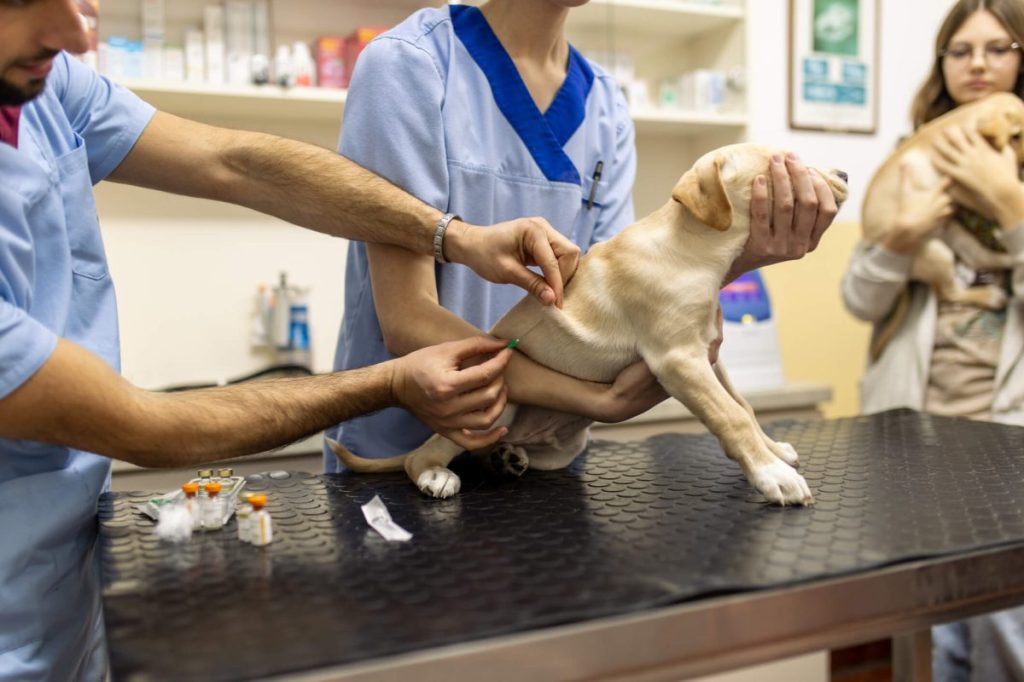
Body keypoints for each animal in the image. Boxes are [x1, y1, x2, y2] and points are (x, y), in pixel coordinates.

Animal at [327, 144, 847, 503]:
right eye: (786, 164)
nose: (844, 172)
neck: (693, 250)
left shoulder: (709, 355)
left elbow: (743, 405)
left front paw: (774, 450)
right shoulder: (679, 360)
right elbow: (730, 416)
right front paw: (774, 476)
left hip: (563, 446)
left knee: (497, 451)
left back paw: (506, 457)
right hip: (500, 403)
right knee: (424, 455)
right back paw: (437, 474)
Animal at [864, 93, 1024, 358]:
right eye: (1016, 136)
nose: (1022, 168)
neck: (965, 122)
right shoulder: (963, 188)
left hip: (955, 235)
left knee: (977, 258)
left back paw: (1008, 262)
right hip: (936, 252)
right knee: (948, 292)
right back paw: (991, 296)